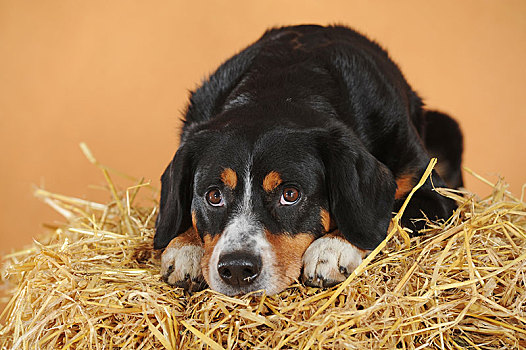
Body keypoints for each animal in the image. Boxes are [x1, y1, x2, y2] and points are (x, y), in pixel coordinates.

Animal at [155, 24, 464, 296]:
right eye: (213, 195)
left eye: (290, 194)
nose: (237, 269)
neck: (280, 88)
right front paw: (185, 247)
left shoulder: (433, 195)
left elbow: (390, 214)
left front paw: (333, 248)